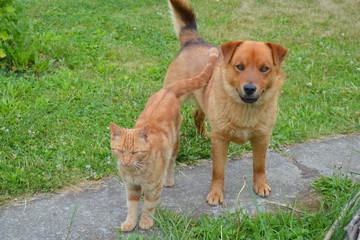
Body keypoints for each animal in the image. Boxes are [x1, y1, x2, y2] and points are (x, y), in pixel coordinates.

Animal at [109, 47, 218, 231]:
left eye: (135, 152)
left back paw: (168, 180)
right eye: (120, 151)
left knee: (171, 163)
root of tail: (168, 90)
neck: (135, 172)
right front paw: (130, 222)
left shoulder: (153, 188)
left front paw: (145, 221)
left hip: (175, 144)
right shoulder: (130, 188)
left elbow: (148, 206)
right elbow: (131, 207)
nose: (125, 162)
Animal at [165, 0, 286, 206]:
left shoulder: (262, 138)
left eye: (264, 69)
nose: (249, 88)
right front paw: (215, 193)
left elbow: (259, 165)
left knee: (197, 115)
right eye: (239, 66)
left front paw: (261, 184)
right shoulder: (221, 141)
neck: (245, 110)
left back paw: (203, 134)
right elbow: (218, 171)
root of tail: (194, 41)